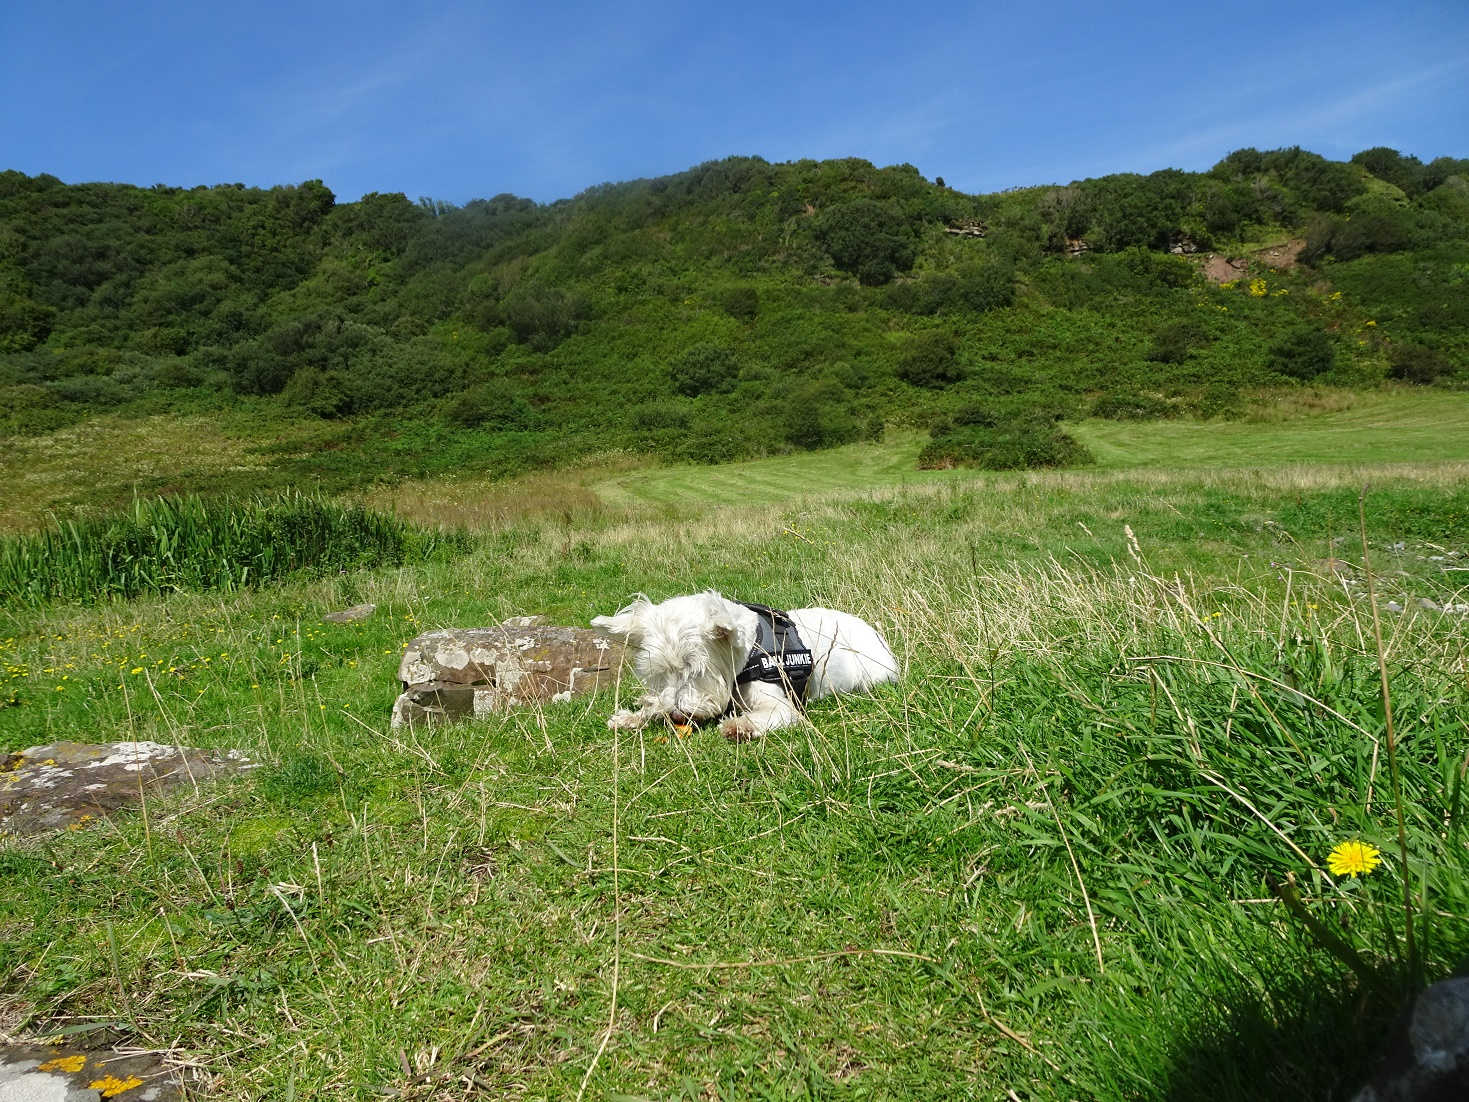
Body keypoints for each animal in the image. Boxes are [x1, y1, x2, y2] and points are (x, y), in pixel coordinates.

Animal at [590, 596, 899, 743]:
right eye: (659, 673)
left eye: (696, 671)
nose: (677, 714)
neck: (749, 651)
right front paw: (634, 716)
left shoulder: (782, 707)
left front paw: (740, 726)